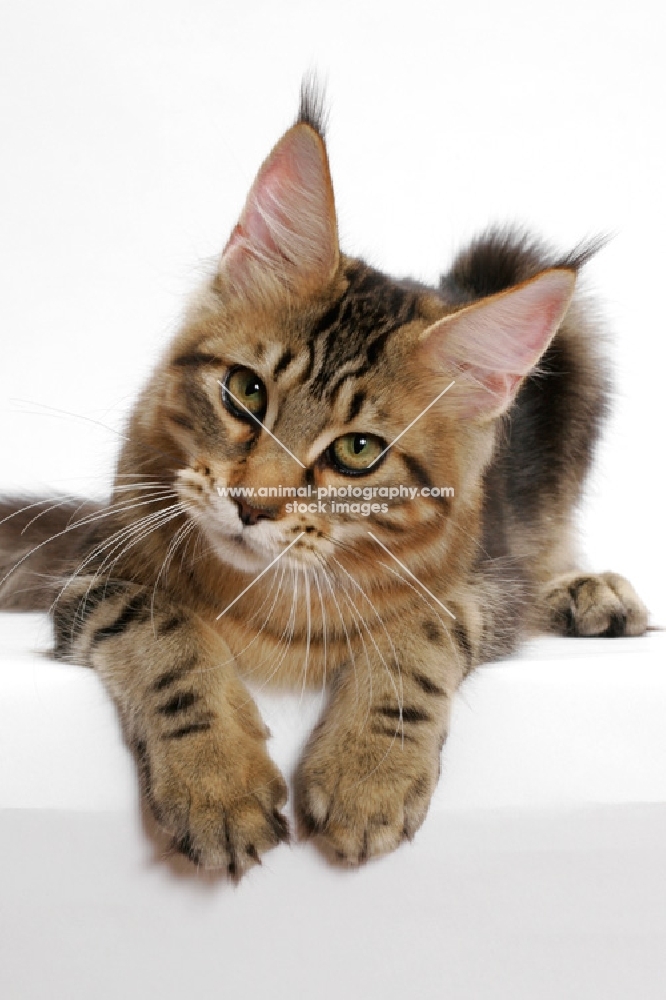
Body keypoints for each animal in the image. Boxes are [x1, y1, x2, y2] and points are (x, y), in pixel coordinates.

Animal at [0, 84, 644, 876]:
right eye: (246, 391)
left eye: (359, 451)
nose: (251, 506)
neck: (262, 601)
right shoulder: (97, 578)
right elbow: (168, 634)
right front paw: (217, 783)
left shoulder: (487, 584)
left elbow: (419, 636)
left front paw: (368, 773)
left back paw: (590, 591)